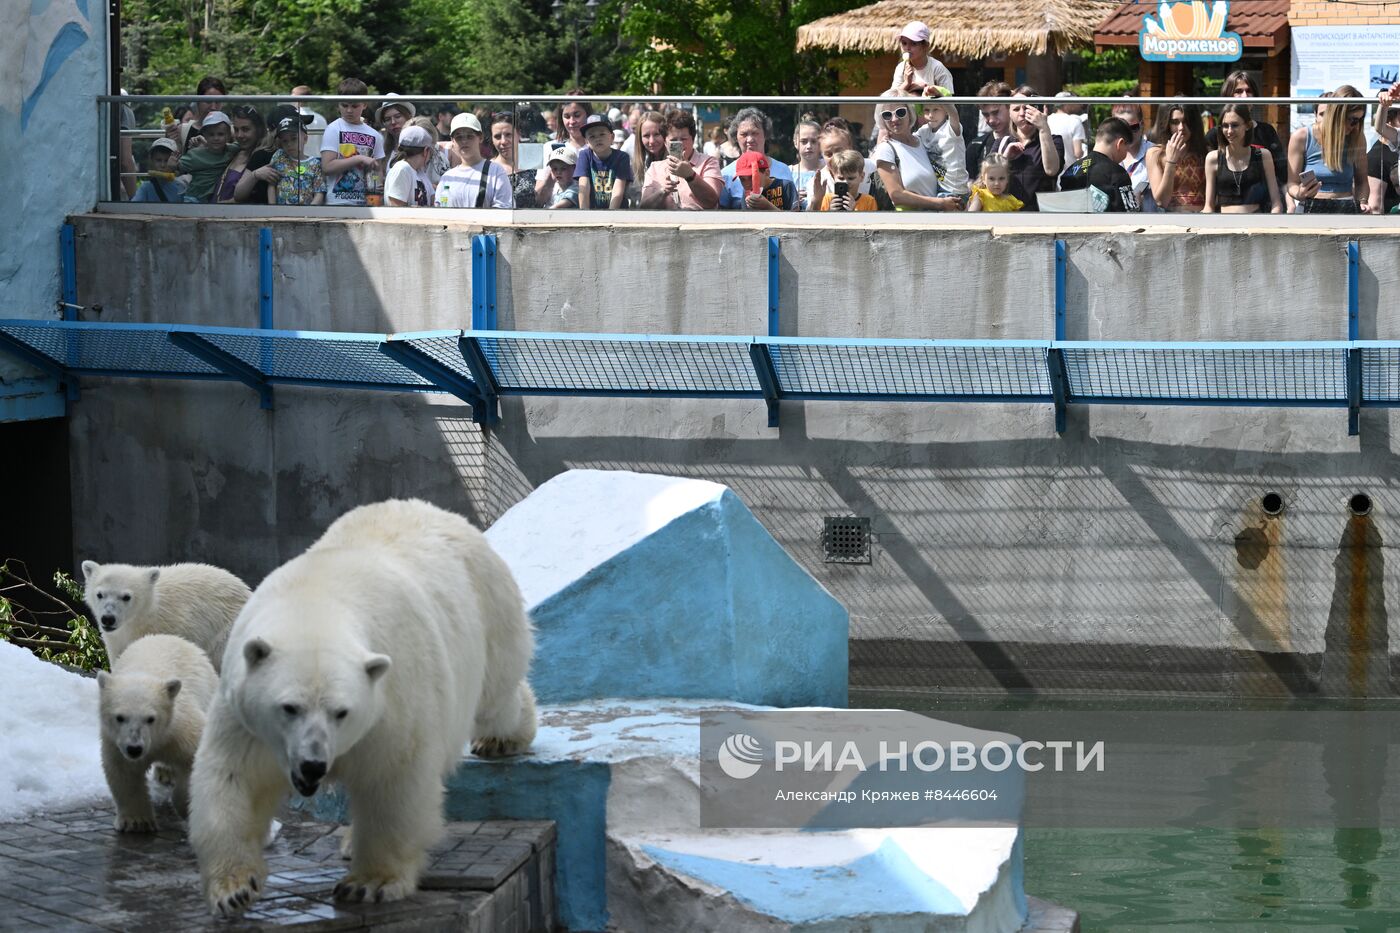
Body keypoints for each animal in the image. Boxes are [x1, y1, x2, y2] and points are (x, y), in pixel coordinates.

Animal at [97, 633, 218, 829]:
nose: (135, 748)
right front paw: (137, 821)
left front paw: (186, 806)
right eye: (120, 717)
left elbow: (194, 761)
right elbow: (123, 772)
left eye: (150, 718)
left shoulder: (183, 728)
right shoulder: (115, 740)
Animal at [187, 498, 534, 913]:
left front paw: (370, 883)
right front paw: (234, 888)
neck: (315, 600)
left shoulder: (393, 697)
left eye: (341, 712)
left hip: (487, 611)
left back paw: (504, 738)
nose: (313, 765)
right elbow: (235, 777)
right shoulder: (245, 717)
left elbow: (393, 780)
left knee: (496, 695)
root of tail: (441, 512)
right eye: (289, 707)